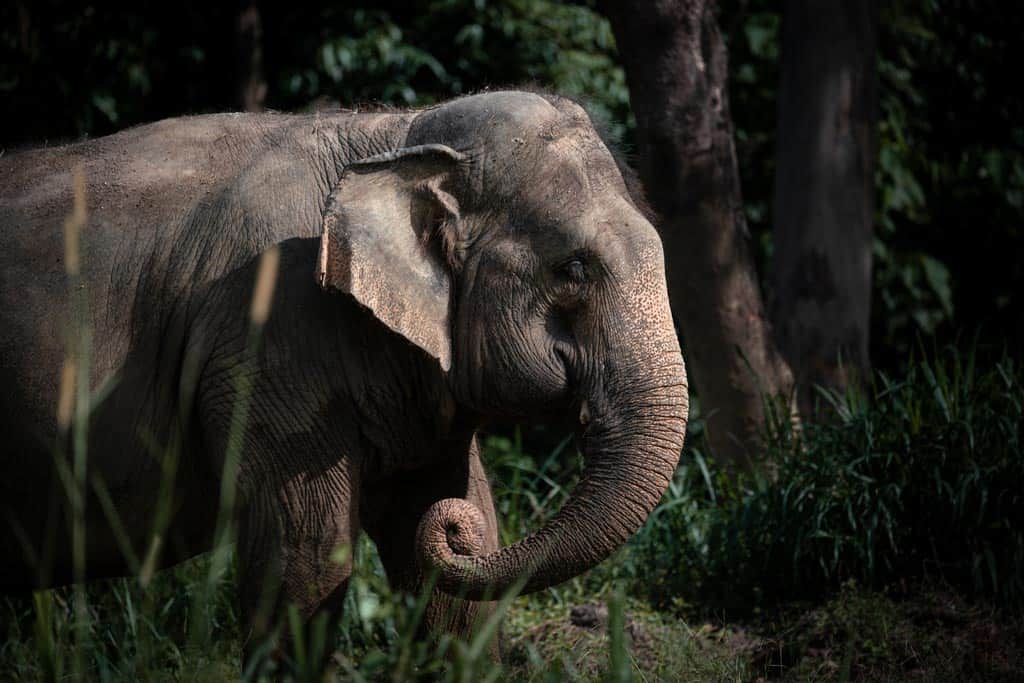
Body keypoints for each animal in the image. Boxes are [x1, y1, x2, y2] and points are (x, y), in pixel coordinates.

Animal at [0, 90, 688, 660]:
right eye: (572, 270)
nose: (457, 534)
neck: (397, 136)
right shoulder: (269, 335)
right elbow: (304, 558)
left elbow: (439, 557)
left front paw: (451, 522)